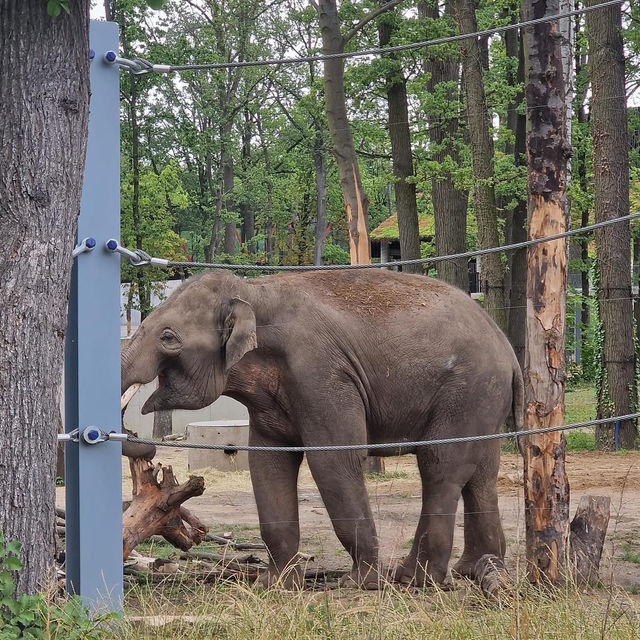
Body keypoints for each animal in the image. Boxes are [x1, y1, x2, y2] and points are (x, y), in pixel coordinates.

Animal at [122, 268, 524, 588]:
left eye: (168, 338)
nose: (144, 446)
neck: (254, 291)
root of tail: (508, 350)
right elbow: (267, 464)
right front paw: (276, 584)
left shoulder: (321, 375)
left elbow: (334, 461)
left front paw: (360, 583)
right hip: (483, 399)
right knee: (481, 472)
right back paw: (472, 570)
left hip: (468, 389)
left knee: (440, 466)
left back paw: (415, 578)